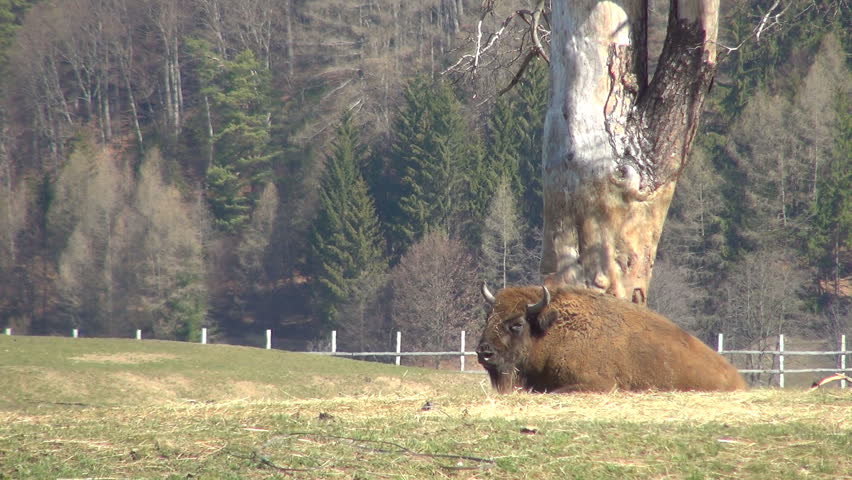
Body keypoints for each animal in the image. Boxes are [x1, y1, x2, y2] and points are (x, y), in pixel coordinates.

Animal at [476, 284, 747, 393]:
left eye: (517, 324)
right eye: (488, 317)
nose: (484, 353)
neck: (551, 331)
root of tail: (738, 379)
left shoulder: (597, 384)